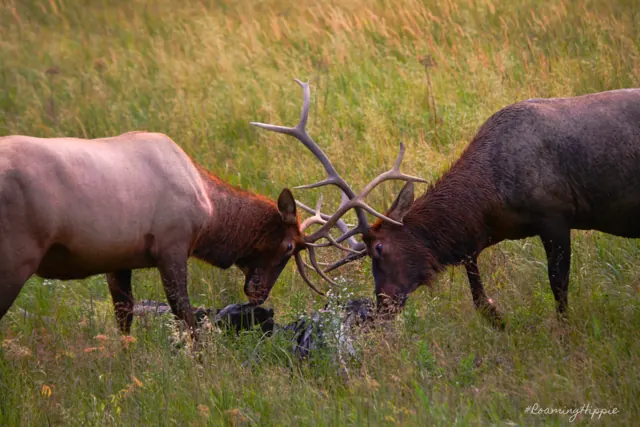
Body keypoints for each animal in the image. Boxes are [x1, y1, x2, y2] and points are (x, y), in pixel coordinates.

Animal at [0, 130, 327, 341]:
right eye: (288, 246)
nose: (260, 295)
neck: (209, 212)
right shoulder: (172, 245)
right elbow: (186, 315)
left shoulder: (118, 259)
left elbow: (124, 316)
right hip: (16, 258)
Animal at [252, 80, 640, 327]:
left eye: (379, 249)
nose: (382, 306)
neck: (492, 197)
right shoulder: (484, 234)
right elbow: (474, 279)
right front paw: (497, 318)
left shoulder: (554, 214)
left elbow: (558, 284)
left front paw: (562, 330)